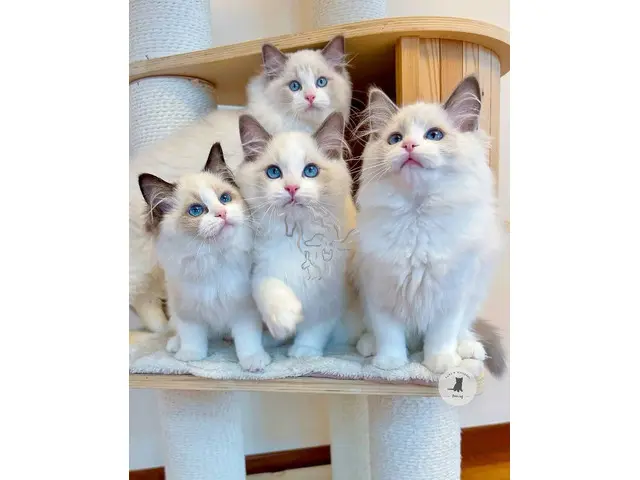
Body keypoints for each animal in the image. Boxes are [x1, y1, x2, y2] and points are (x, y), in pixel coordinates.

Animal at [129, 35, 353, 333]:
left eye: (321, 82)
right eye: (294, 86)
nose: (310, 97)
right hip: (146, 258)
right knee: (140, 296)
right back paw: (161, 329)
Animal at [137, 142, 270, 372]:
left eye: (225, 198)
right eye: (196, 210)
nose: (222, 213)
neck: (213, 259)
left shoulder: (244, 309)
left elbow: (247, 340)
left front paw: (254, 361)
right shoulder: (188, 310)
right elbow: (193, 336)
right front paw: (190, 356)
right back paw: (175, 345)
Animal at [235, 112, 363, 357]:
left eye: (310, 171)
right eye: (273, 172)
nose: (292, 188)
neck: (296, 237)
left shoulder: (329, 292)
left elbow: (315, 327)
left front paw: (304, 352)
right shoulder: (258, 268)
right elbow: (267, 286)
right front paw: (285, 321)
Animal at [354, 76, 506, 376]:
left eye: (434, 135)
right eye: (395, 139)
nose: (409, 146)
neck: (417, 216)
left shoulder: (451, 294)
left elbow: (441, 334)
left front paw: (440, 363)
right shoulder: (380, 290)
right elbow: (389, 333)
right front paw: (390, 363)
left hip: (475, 290)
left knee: (463, 329)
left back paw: (467, 348)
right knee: (370, 330)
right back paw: (368, 346)